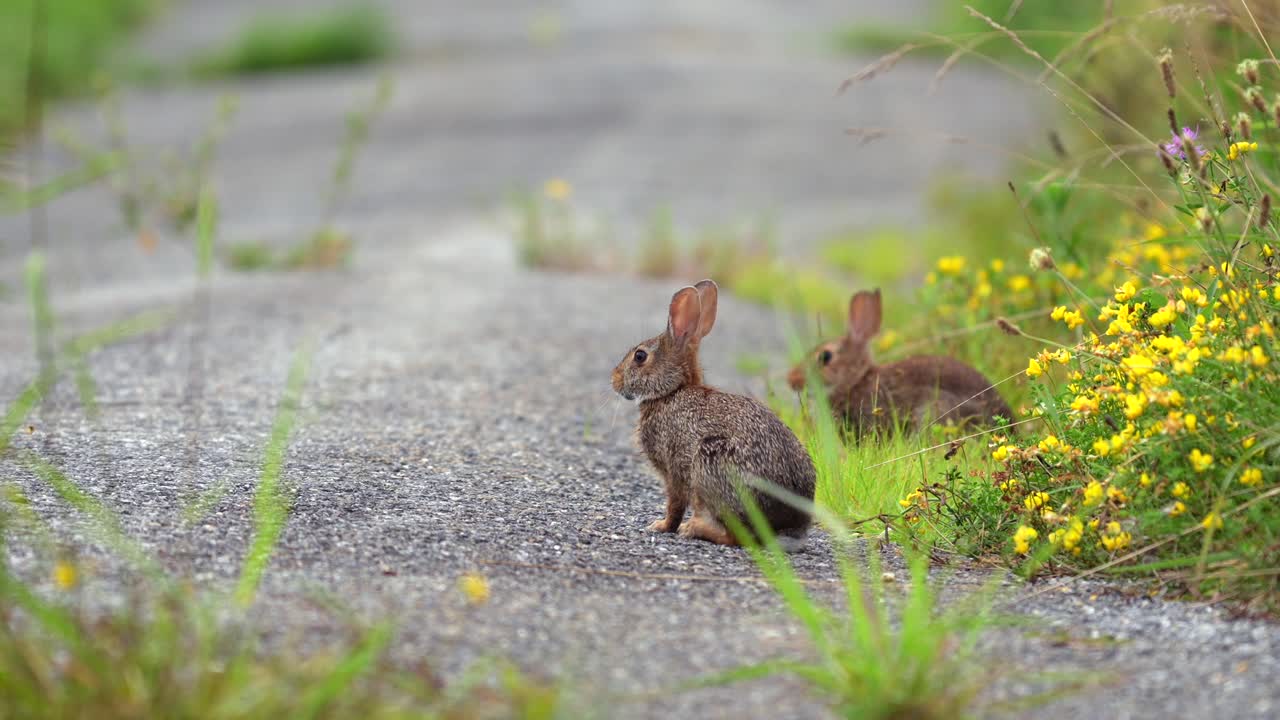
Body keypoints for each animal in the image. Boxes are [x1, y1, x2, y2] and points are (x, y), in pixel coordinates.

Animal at [612, 279, 816, 551]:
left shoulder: (674, 468)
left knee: (737, 536)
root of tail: (788, 525)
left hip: (711, 465)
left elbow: (675, 503)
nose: (614, 380)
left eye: (640, 356)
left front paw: (662, 526)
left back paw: (692, 529)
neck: (672, 391)